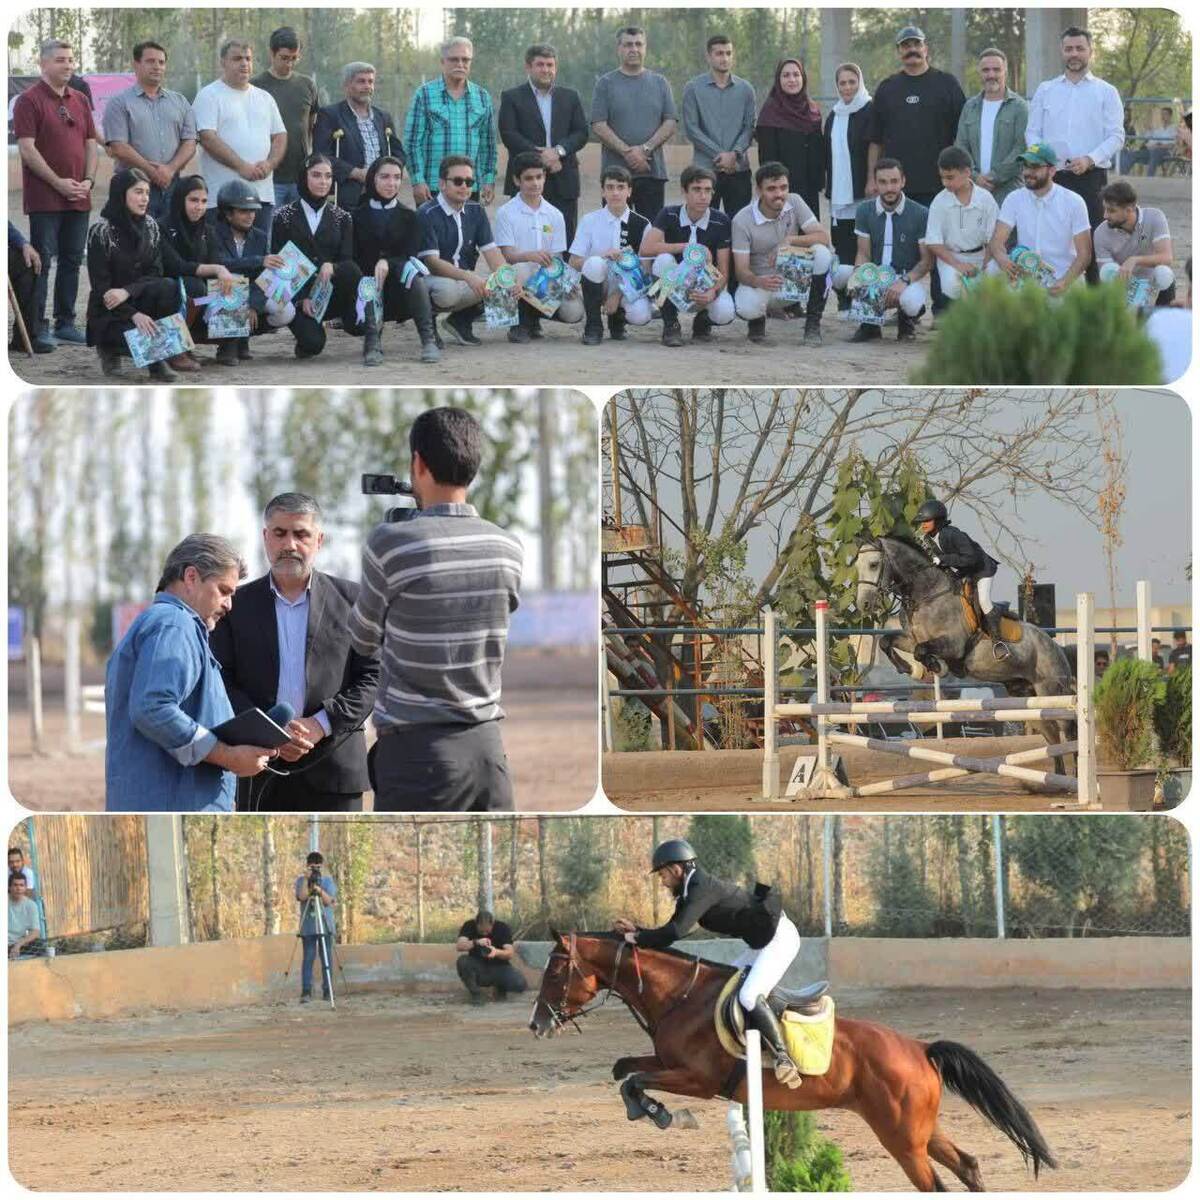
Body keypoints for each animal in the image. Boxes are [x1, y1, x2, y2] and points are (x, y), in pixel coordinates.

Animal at [530, 936, 1056, 1190]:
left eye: (555, 970)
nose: (537, 1024)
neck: (681, 995)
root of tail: (920, 1048)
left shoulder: (698, 1079)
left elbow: (635, 1080)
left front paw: (663, 1115)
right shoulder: (666, 1061)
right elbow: (625, 1071)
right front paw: (652, 1111)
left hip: (902, 1140)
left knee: (937, 1186)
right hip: (920, 1130)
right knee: (967, 1165)